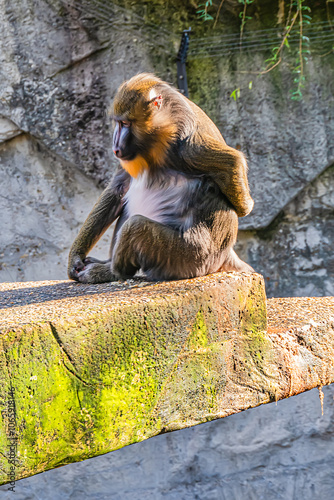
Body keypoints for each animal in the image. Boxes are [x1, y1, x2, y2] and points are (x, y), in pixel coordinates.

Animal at [68, 72, 253, 284]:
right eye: (118, 123)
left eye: (125, 124)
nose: (115, 145)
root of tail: (224, 256)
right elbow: (118, 188)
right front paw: (75, 258)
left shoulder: (186, 145)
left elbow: (232, 162)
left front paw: (245, 207)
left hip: (189, 257)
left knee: (136, 226)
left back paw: (112, 272)